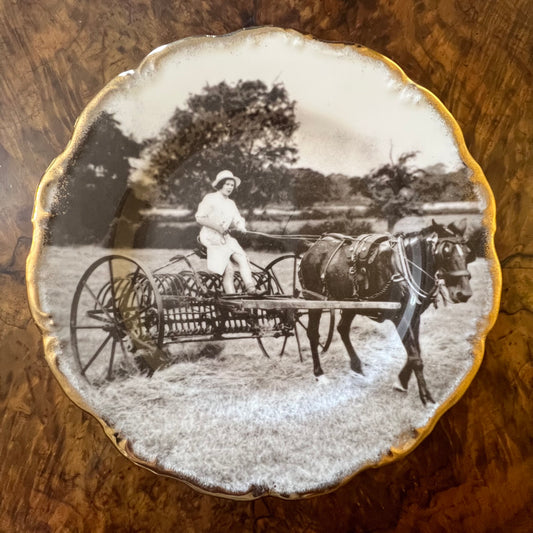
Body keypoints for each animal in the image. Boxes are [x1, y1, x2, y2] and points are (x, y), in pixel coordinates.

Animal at [300, 216, 474, 404]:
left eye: (467, 252)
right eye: (446, 252)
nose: (464, 293)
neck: (403, 266)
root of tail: (313, 247)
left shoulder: (414, 316)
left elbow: (415, 351)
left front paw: (401, 382)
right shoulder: (399, 316)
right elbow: (415, 357)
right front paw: (425, 395)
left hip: (351, 302)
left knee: (342, 328)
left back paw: (357, 366)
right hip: (314, 299)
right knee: (313, 333)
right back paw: (319, 374)